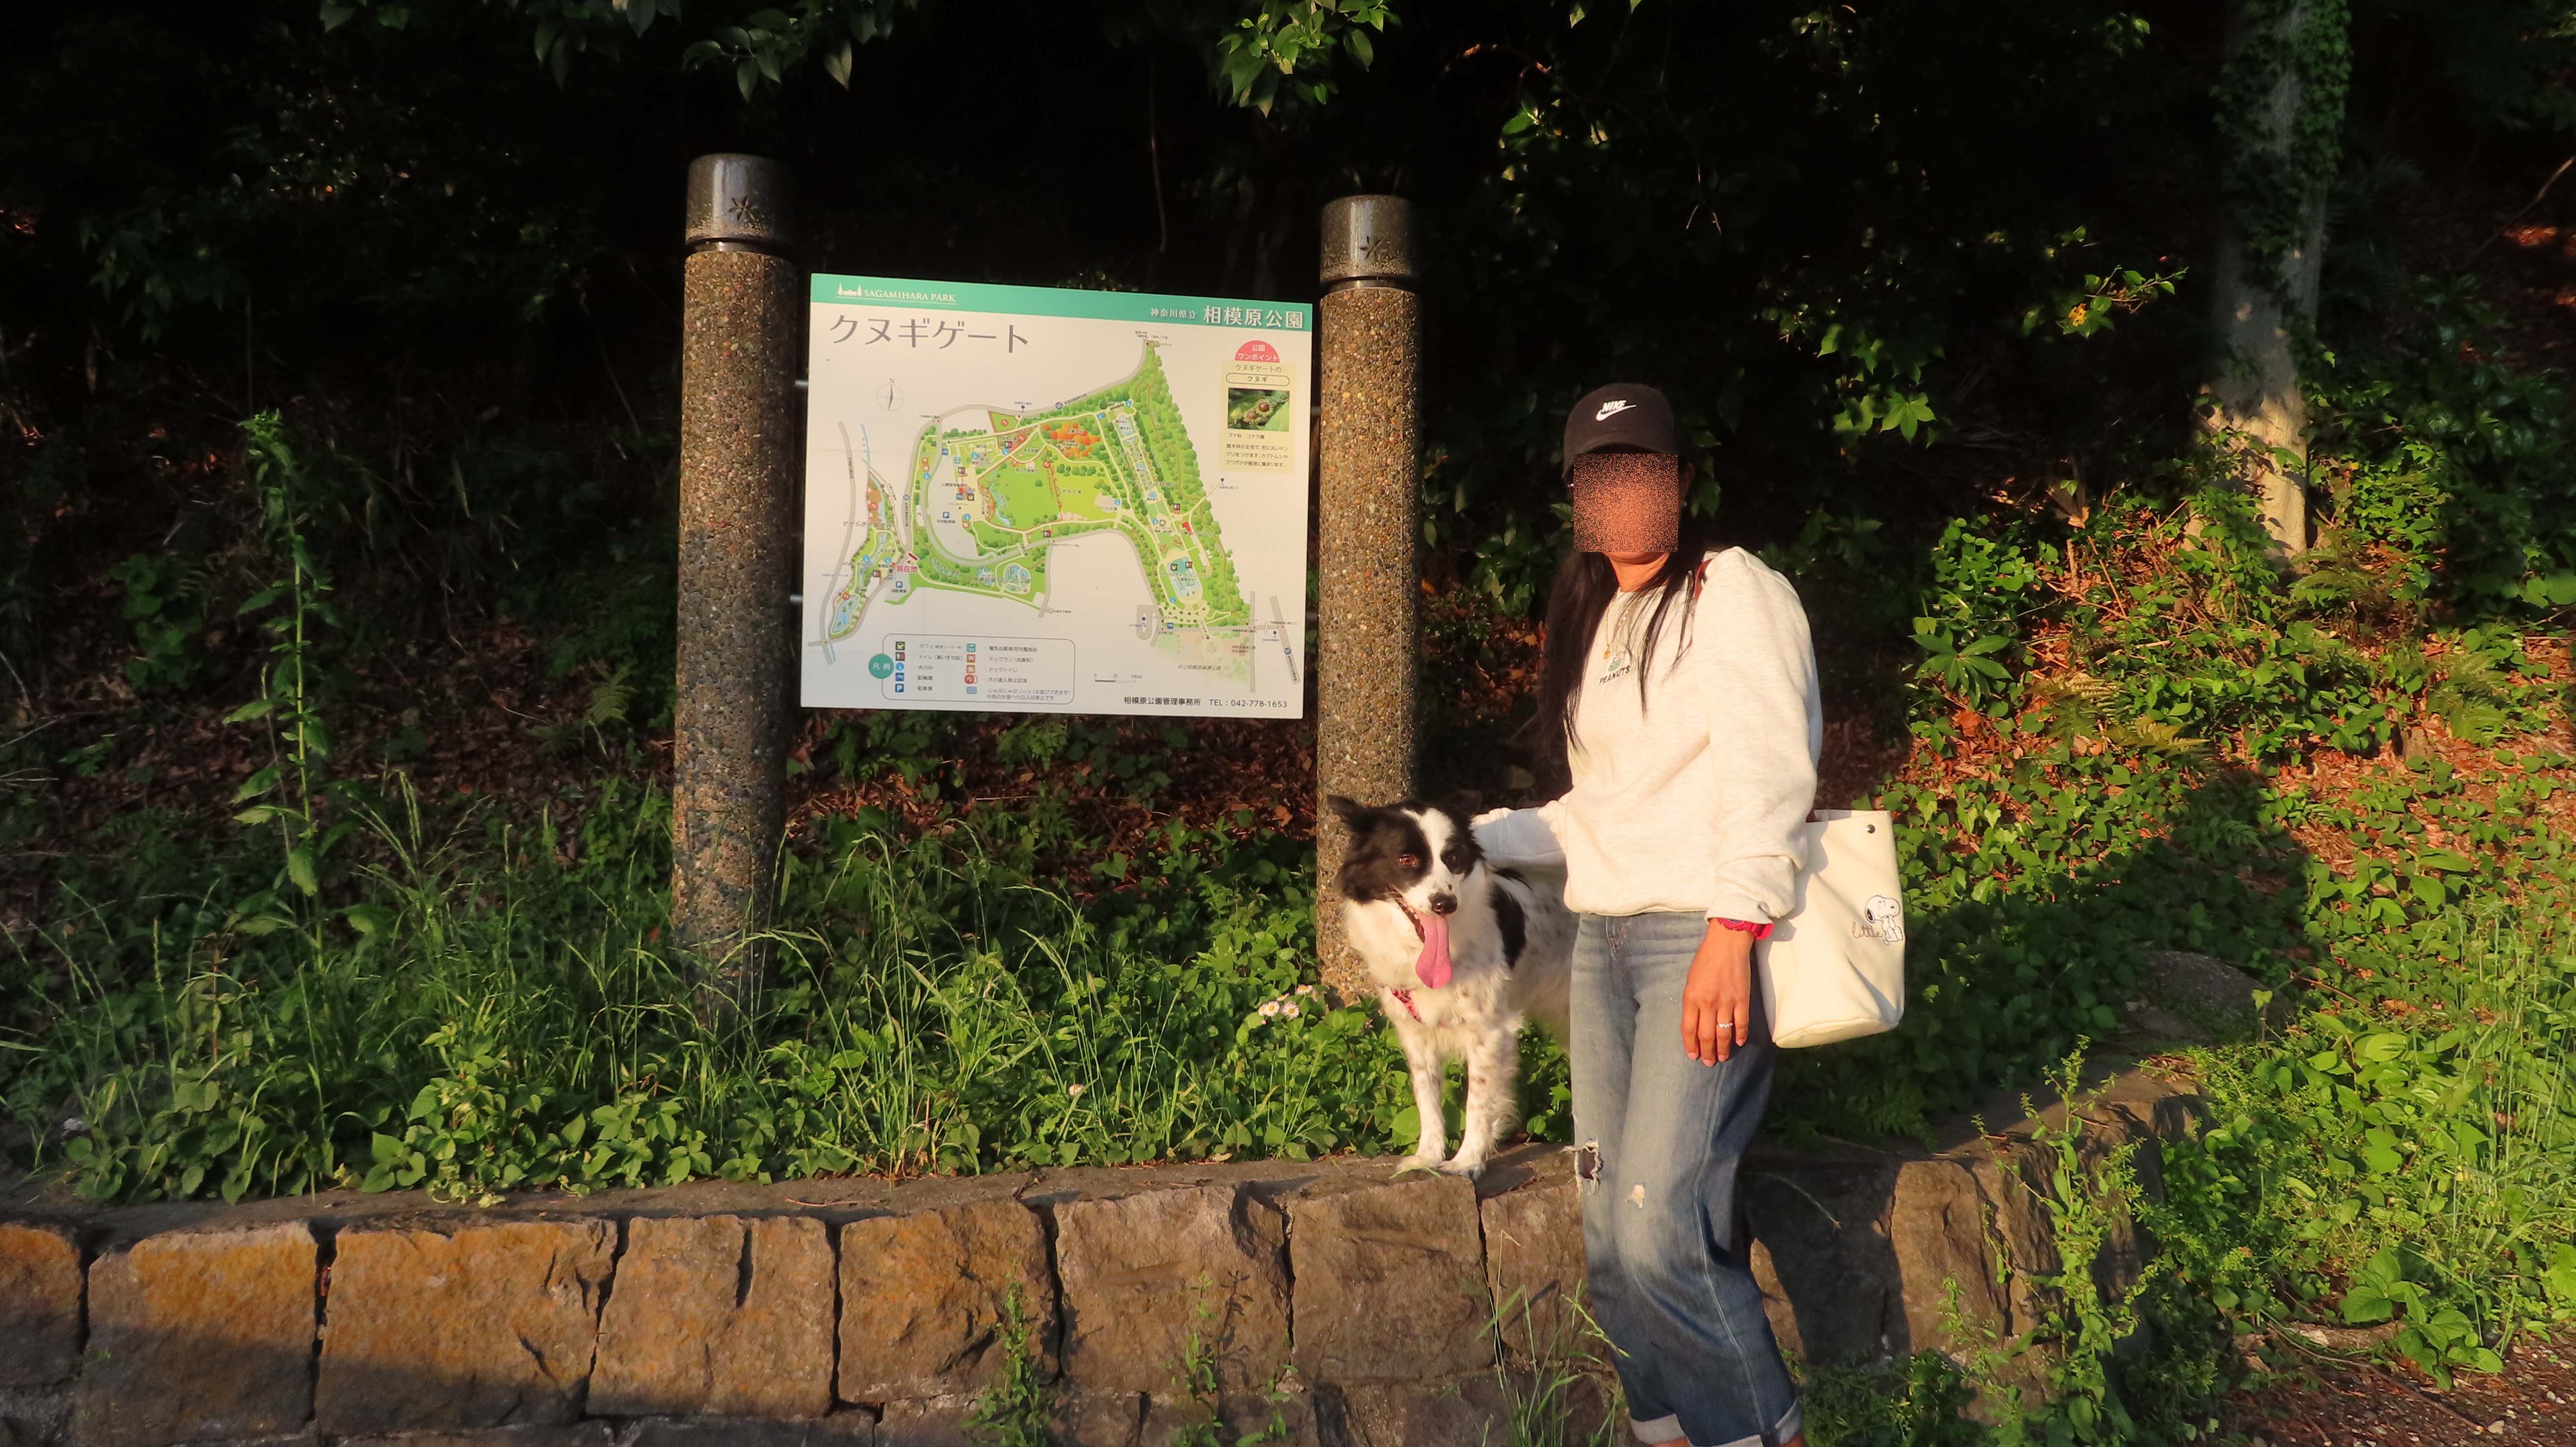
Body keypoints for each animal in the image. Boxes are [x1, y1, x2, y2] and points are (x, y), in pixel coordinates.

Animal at [1326, 796, 1574, 1178]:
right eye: (1407, 860)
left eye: (1453, 858)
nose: (1445, 904)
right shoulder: (1416, 1035)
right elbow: (1427, 1098)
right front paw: (1427, 1157)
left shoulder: (1490, 1033)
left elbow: (1478, 1103)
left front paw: (1467, 1161)